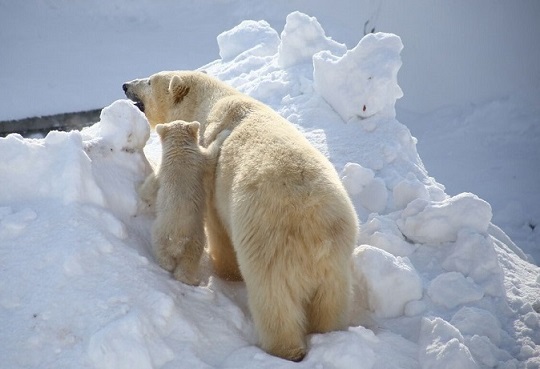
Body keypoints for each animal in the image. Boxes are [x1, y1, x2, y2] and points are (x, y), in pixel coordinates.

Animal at [141, 120, 228, 284]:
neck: (178, 151)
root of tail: (175, 241)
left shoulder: (162, 171)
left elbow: (152, 184)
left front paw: (142, 195)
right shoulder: (199, 161)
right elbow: (211, 156)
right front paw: (224, 133)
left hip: (158, 234)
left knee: (163, 254)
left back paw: (166, 265)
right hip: (194, 237)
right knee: (190, 259)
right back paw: (192, 280)